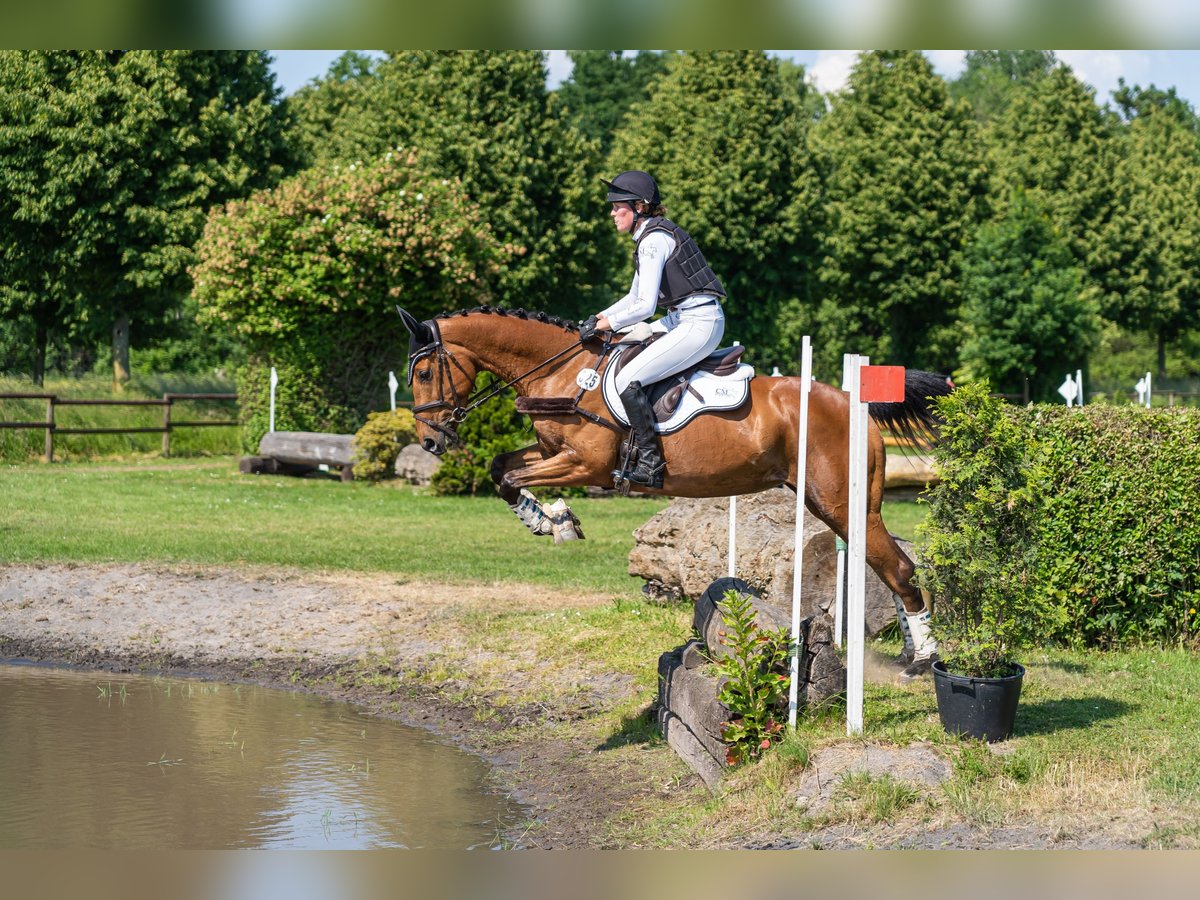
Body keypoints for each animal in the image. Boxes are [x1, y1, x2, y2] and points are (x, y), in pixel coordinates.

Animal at [403, 307, 955, 672]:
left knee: (898, 567)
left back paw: (924, 659)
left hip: (839, 504)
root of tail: (854, 405)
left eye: (426, 371)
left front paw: (554, 521)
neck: (564, 374)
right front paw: (553, 519)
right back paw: (912, 650)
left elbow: (513, 478)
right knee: (890, 564)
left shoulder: (587, 465)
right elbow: (501, 468)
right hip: (842, 506)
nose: (430, 441)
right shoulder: (552, 452)